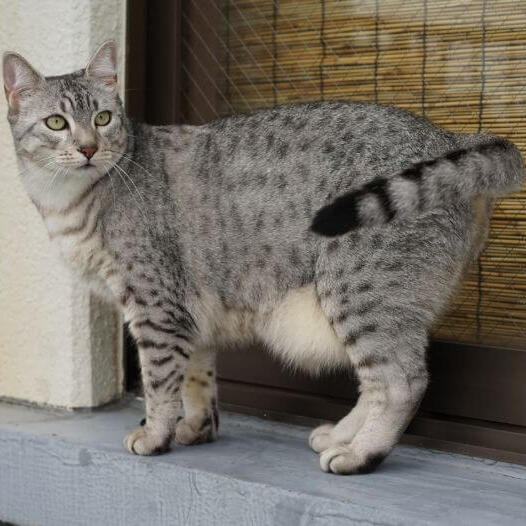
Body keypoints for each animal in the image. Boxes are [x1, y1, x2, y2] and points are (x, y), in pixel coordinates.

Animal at [3, 40, 524, 478]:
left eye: (104, 118)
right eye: (56, 123)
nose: (89, 148)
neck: (68, 203)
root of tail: (447, 136)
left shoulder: (155, 306)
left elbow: (159, 381)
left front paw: (155, 434)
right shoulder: (189, 311)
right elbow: (196, 376)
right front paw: (195, 427)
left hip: (359, 287)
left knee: (402, 380)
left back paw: (360, 453)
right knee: (375, 380)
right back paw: (342, 435)